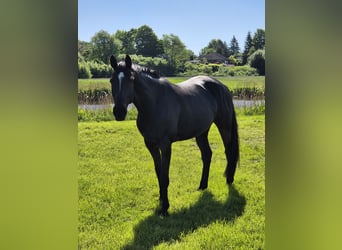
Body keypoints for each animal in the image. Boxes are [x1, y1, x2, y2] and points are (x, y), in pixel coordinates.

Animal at [111, 55, 239, 216]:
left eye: (131, 79)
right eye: (112, 80)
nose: (119, 112)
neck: (155, 103)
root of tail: (221, 86)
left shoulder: (165, 145)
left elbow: (165, 176)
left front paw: (165, 207)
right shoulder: (150, 144)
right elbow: (159, 173)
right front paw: (161, 200)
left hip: (224, 126)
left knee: (229, 151)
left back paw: (229, 179)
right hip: (201, 132)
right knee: (207, 155)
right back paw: (202, 185)